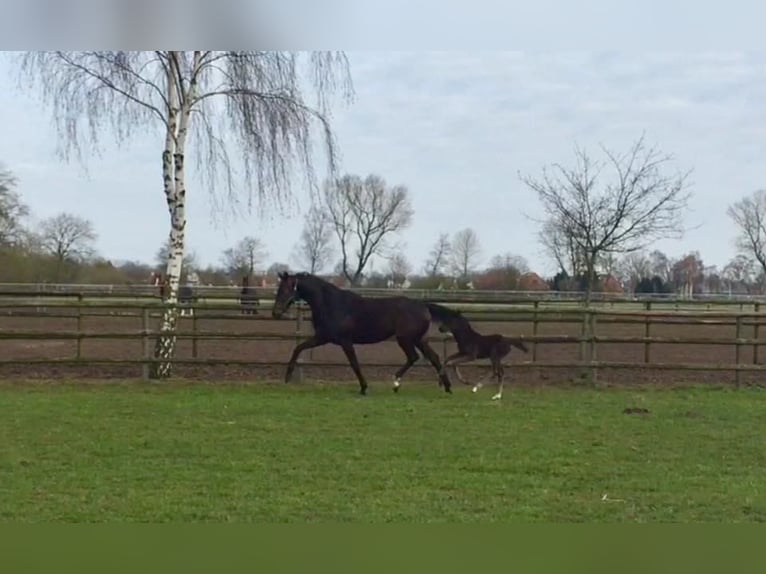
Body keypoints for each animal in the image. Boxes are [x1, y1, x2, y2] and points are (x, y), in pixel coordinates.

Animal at [271, 271, 453, 395]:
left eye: (285, 290)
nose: (275, 313)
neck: (331, 304)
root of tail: (423, 306)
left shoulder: (345, 341)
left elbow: (354, 363)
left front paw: (364, 388)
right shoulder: (323, 337)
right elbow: (298, 348)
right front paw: (287, 377)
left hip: (405, 339)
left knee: (414, 357)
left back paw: (396, 383)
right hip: (418, 339)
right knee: (434, 357)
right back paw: (448, 388)